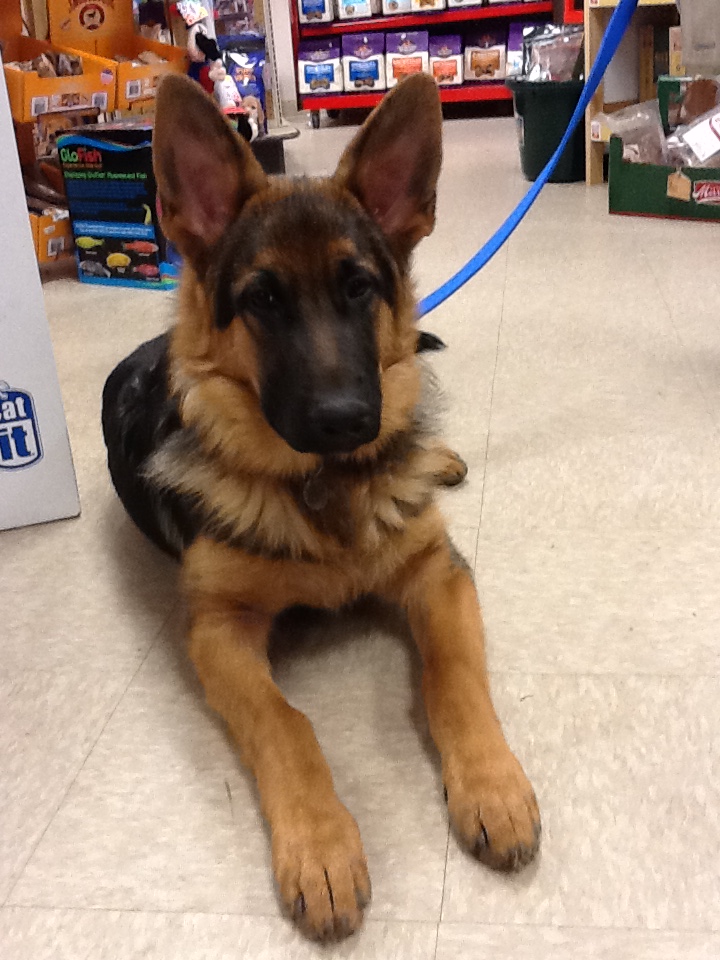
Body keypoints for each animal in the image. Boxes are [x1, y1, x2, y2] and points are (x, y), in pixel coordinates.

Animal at [101, 73, 540, 941]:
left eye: (358, 288)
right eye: (263, 300)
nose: (346, 421)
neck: (321, 484)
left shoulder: (440, 576)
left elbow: (453, 676)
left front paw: (492, 784)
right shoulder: (219, 632)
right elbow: (288, 725)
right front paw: (322, 849)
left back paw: (431, 454)